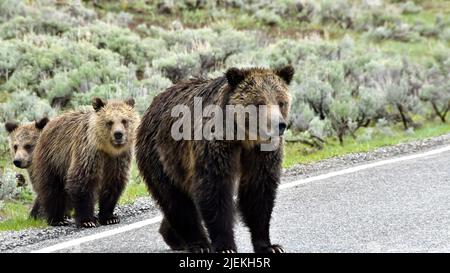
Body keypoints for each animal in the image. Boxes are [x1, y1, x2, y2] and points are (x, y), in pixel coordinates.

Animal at [32, 98, 139, 227]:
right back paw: (58, 219)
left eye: (124, 120)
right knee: (53, 190)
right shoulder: (89, 153)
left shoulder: (118, 160)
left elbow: (112, 185)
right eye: (109, 122)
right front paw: (87, 220)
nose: (118, 134)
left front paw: (110, 217)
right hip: (53, 159)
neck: (108, 150)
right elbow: (82, 182)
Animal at [135, 65, 294, 252]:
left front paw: (269, 245)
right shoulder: (215, 147)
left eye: (281, 102)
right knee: (176, 201)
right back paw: (197, 243)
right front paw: (225, 245)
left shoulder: (260, 153)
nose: (279, 125)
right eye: (259, 103)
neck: (243, 137)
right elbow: (214, 190)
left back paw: (172, 236)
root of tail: (150, 108)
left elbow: (258, 192)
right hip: (161, 158)